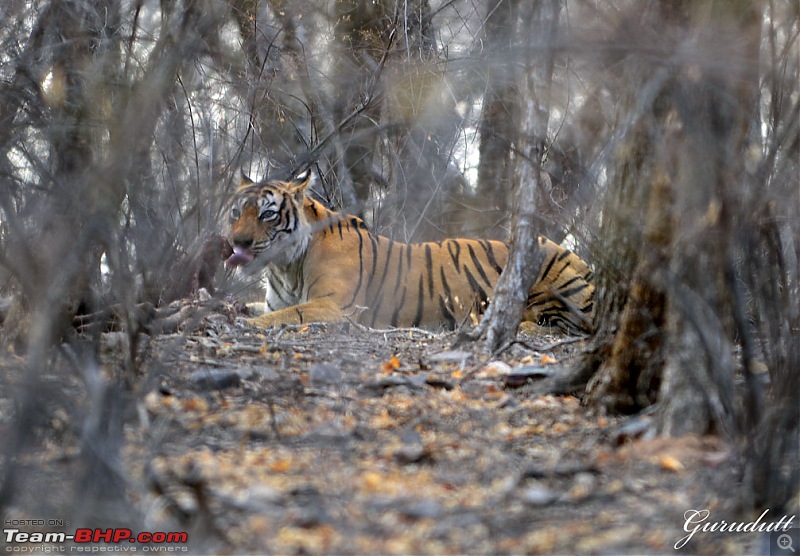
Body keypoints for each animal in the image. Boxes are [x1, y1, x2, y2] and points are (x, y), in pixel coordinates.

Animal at [225, 169, 592, 334]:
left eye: (267, 214)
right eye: (236, 212)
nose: (238, 242)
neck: (286, 267)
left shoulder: (335, 306)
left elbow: (286, 316)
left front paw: (245, 323)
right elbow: (262, 308)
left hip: (554, 289)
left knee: (564, 326)